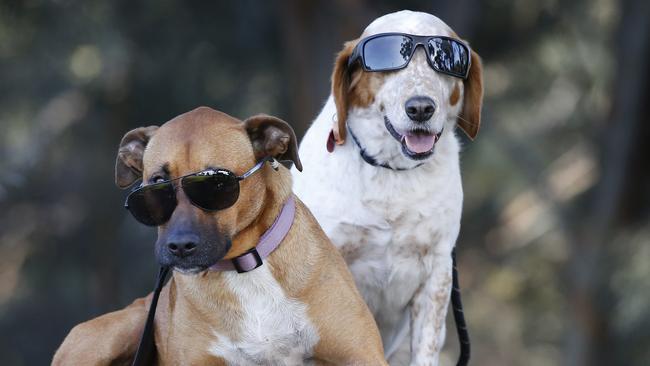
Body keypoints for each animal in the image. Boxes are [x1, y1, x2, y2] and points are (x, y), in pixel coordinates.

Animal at [53, 106, 384, 366]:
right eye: (156, 184)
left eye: (216, 184)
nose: (179, 246)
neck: (246, 266)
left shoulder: (361, 355)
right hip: (121, 327)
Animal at [294, 10, 480, 364]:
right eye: (387, 59)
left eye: (444, 60)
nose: (420, 108)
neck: (392, 171)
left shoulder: (437, 270)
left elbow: (426, 348)